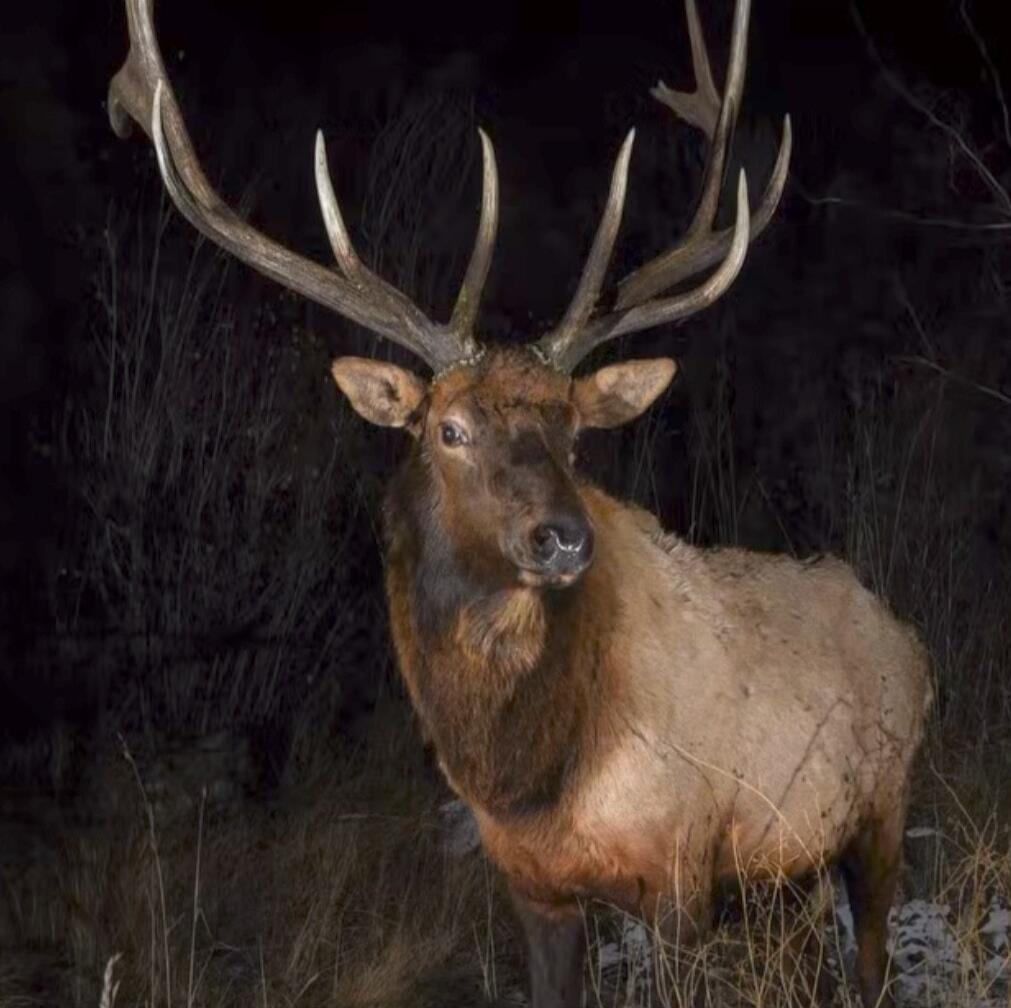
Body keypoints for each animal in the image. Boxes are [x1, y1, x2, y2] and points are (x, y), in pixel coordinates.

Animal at [108, 0, 931, 1005]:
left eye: (575, 432)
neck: (531, 781)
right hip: (797, 862)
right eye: (448, 428)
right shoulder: (531, 887)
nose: (563, 539)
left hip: (882, 809)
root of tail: (908, 638)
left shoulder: (683, 870)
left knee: (872, 957)